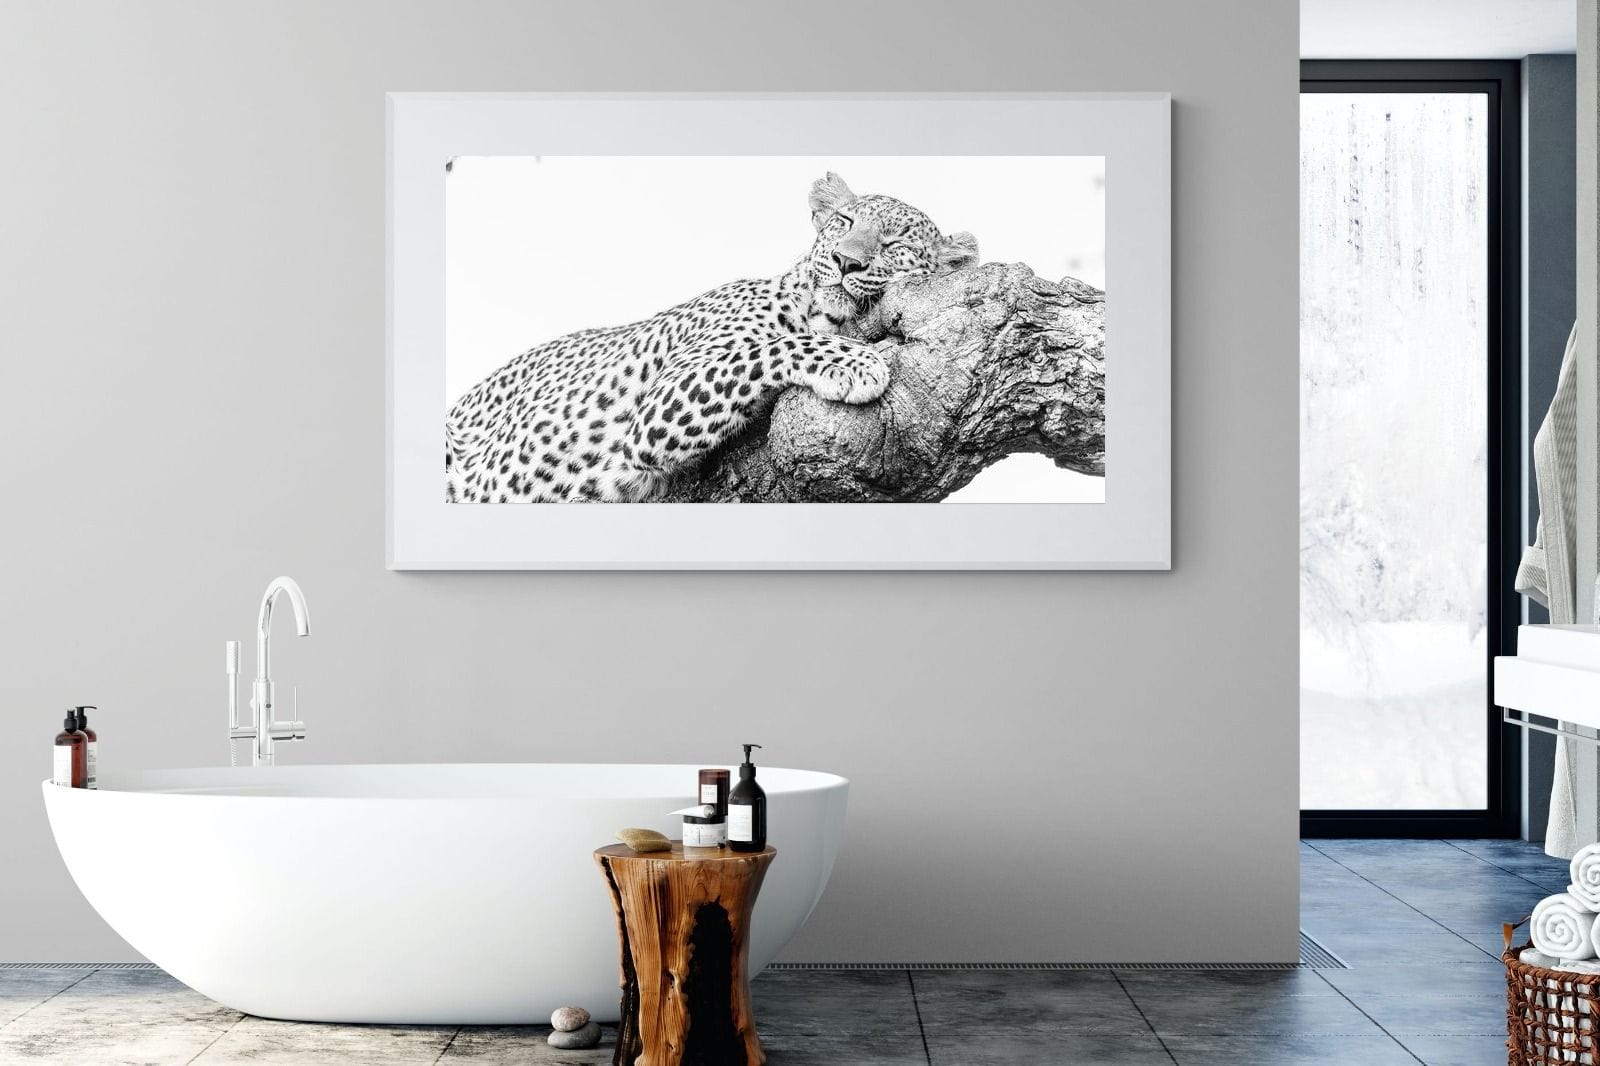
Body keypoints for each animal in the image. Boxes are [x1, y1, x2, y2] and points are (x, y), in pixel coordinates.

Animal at [444, 172, 978, 502]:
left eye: (895, 245)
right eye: (844, 223)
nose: (846, 261)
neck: (818, 311)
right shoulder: (658, 407)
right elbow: (767, 348)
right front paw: (856, 362)